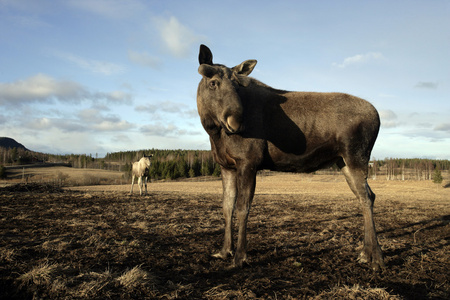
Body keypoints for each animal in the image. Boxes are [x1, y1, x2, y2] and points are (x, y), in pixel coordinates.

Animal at [195, 45, 384, 270]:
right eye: (213, 83)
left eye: (238, 86)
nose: (236, 122)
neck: (214, 134)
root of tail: (378, 117)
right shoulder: (226, 166)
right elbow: (226, 207)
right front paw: (224, 251)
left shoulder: (249, 162)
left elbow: (243, 208)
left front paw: (240, 256)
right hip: (343, 161)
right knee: (368, 195)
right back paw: (366, 252)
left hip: (356, 157)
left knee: (366, 197)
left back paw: (376, 257)